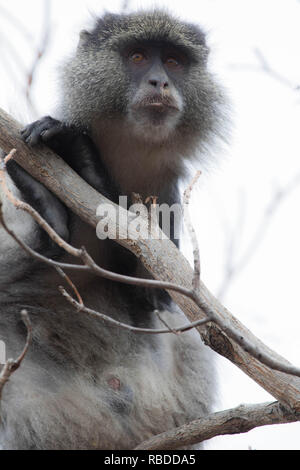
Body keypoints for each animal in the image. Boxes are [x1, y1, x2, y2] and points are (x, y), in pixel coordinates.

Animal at [0, 10, 226, 452]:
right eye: (138, 56)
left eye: (173, 61)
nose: (159, 82)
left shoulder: (166, 188)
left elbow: (156, 299)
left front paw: (85, 161)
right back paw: (46, 209)